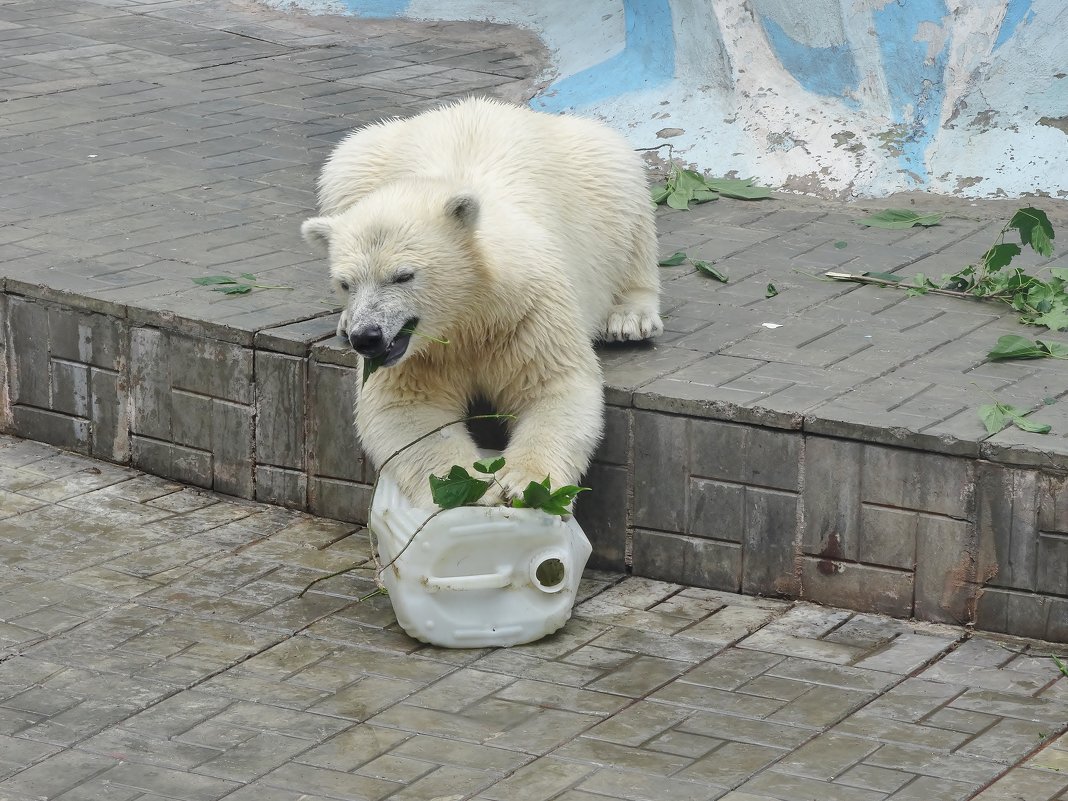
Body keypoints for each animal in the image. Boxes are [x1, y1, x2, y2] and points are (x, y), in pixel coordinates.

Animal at [301, 97, 662, 504]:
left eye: (403, 275)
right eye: (345, 283)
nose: (367, 337)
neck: (470, 313)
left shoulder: (527, 312)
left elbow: (554, 387)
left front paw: (524, 483)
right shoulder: (419, 354)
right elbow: (407, 408)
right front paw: (473, 489)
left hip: (596, 173)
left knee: (624, 191)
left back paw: (630, 318)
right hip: (362, 157)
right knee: (343, 161)